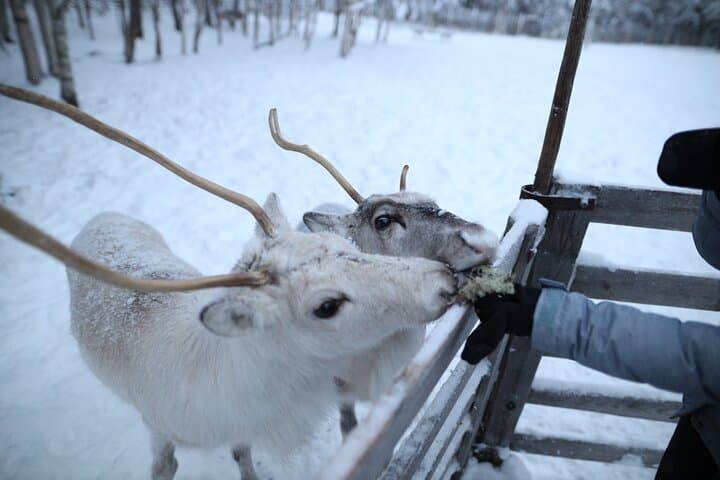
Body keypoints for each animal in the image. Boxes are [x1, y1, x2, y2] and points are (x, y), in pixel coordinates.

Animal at [0, 85, 459, 480]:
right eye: (326, 306)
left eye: (338, 244)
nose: (442, 279)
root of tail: (106, 213)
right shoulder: (159, 426)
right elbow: (166, 467)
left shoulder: (241, 428)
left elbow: (242, 454)